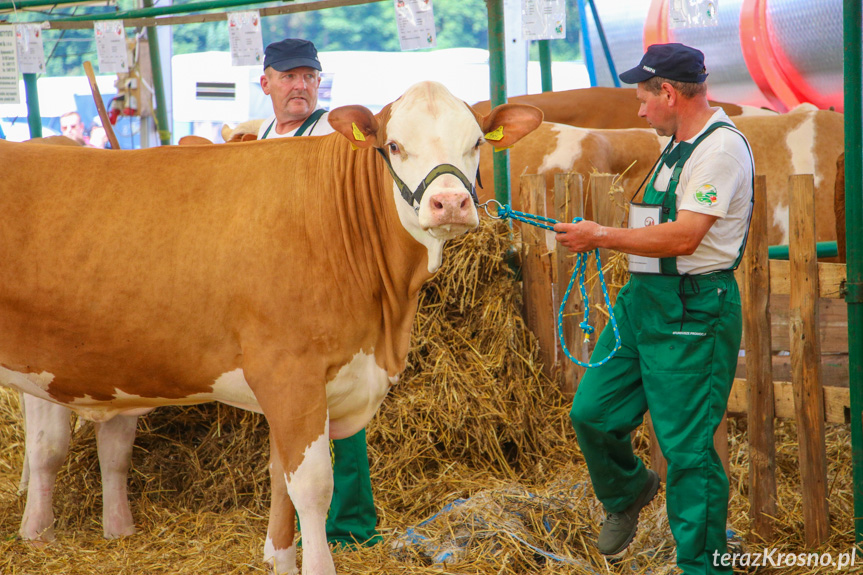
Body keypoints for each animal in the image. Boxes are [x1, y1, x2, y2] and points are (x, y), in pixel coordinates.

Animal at [0, 82, 540, 575]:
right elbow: (312, 487)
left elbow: (281, 478)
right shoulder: (290, 374)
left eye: (476, 142)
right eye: (393, 145)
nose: (450, 203)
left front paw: (279, 559)